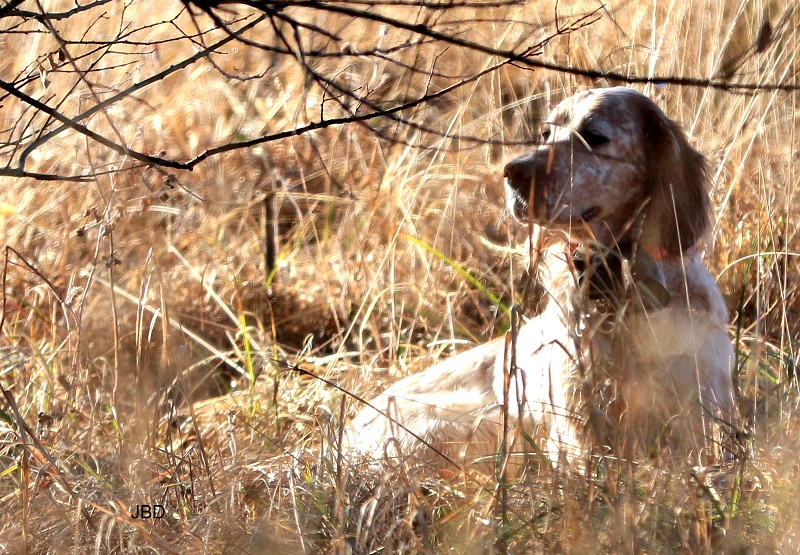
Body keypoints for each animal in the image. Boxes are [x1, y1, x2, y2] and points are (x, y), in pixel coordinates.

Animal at [350, 87, 736, 470]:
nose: (513, 172)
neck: (620, 296)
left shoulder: (703, 415)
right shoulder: (576, 431)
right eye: (545, 134)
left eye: (594, 136)